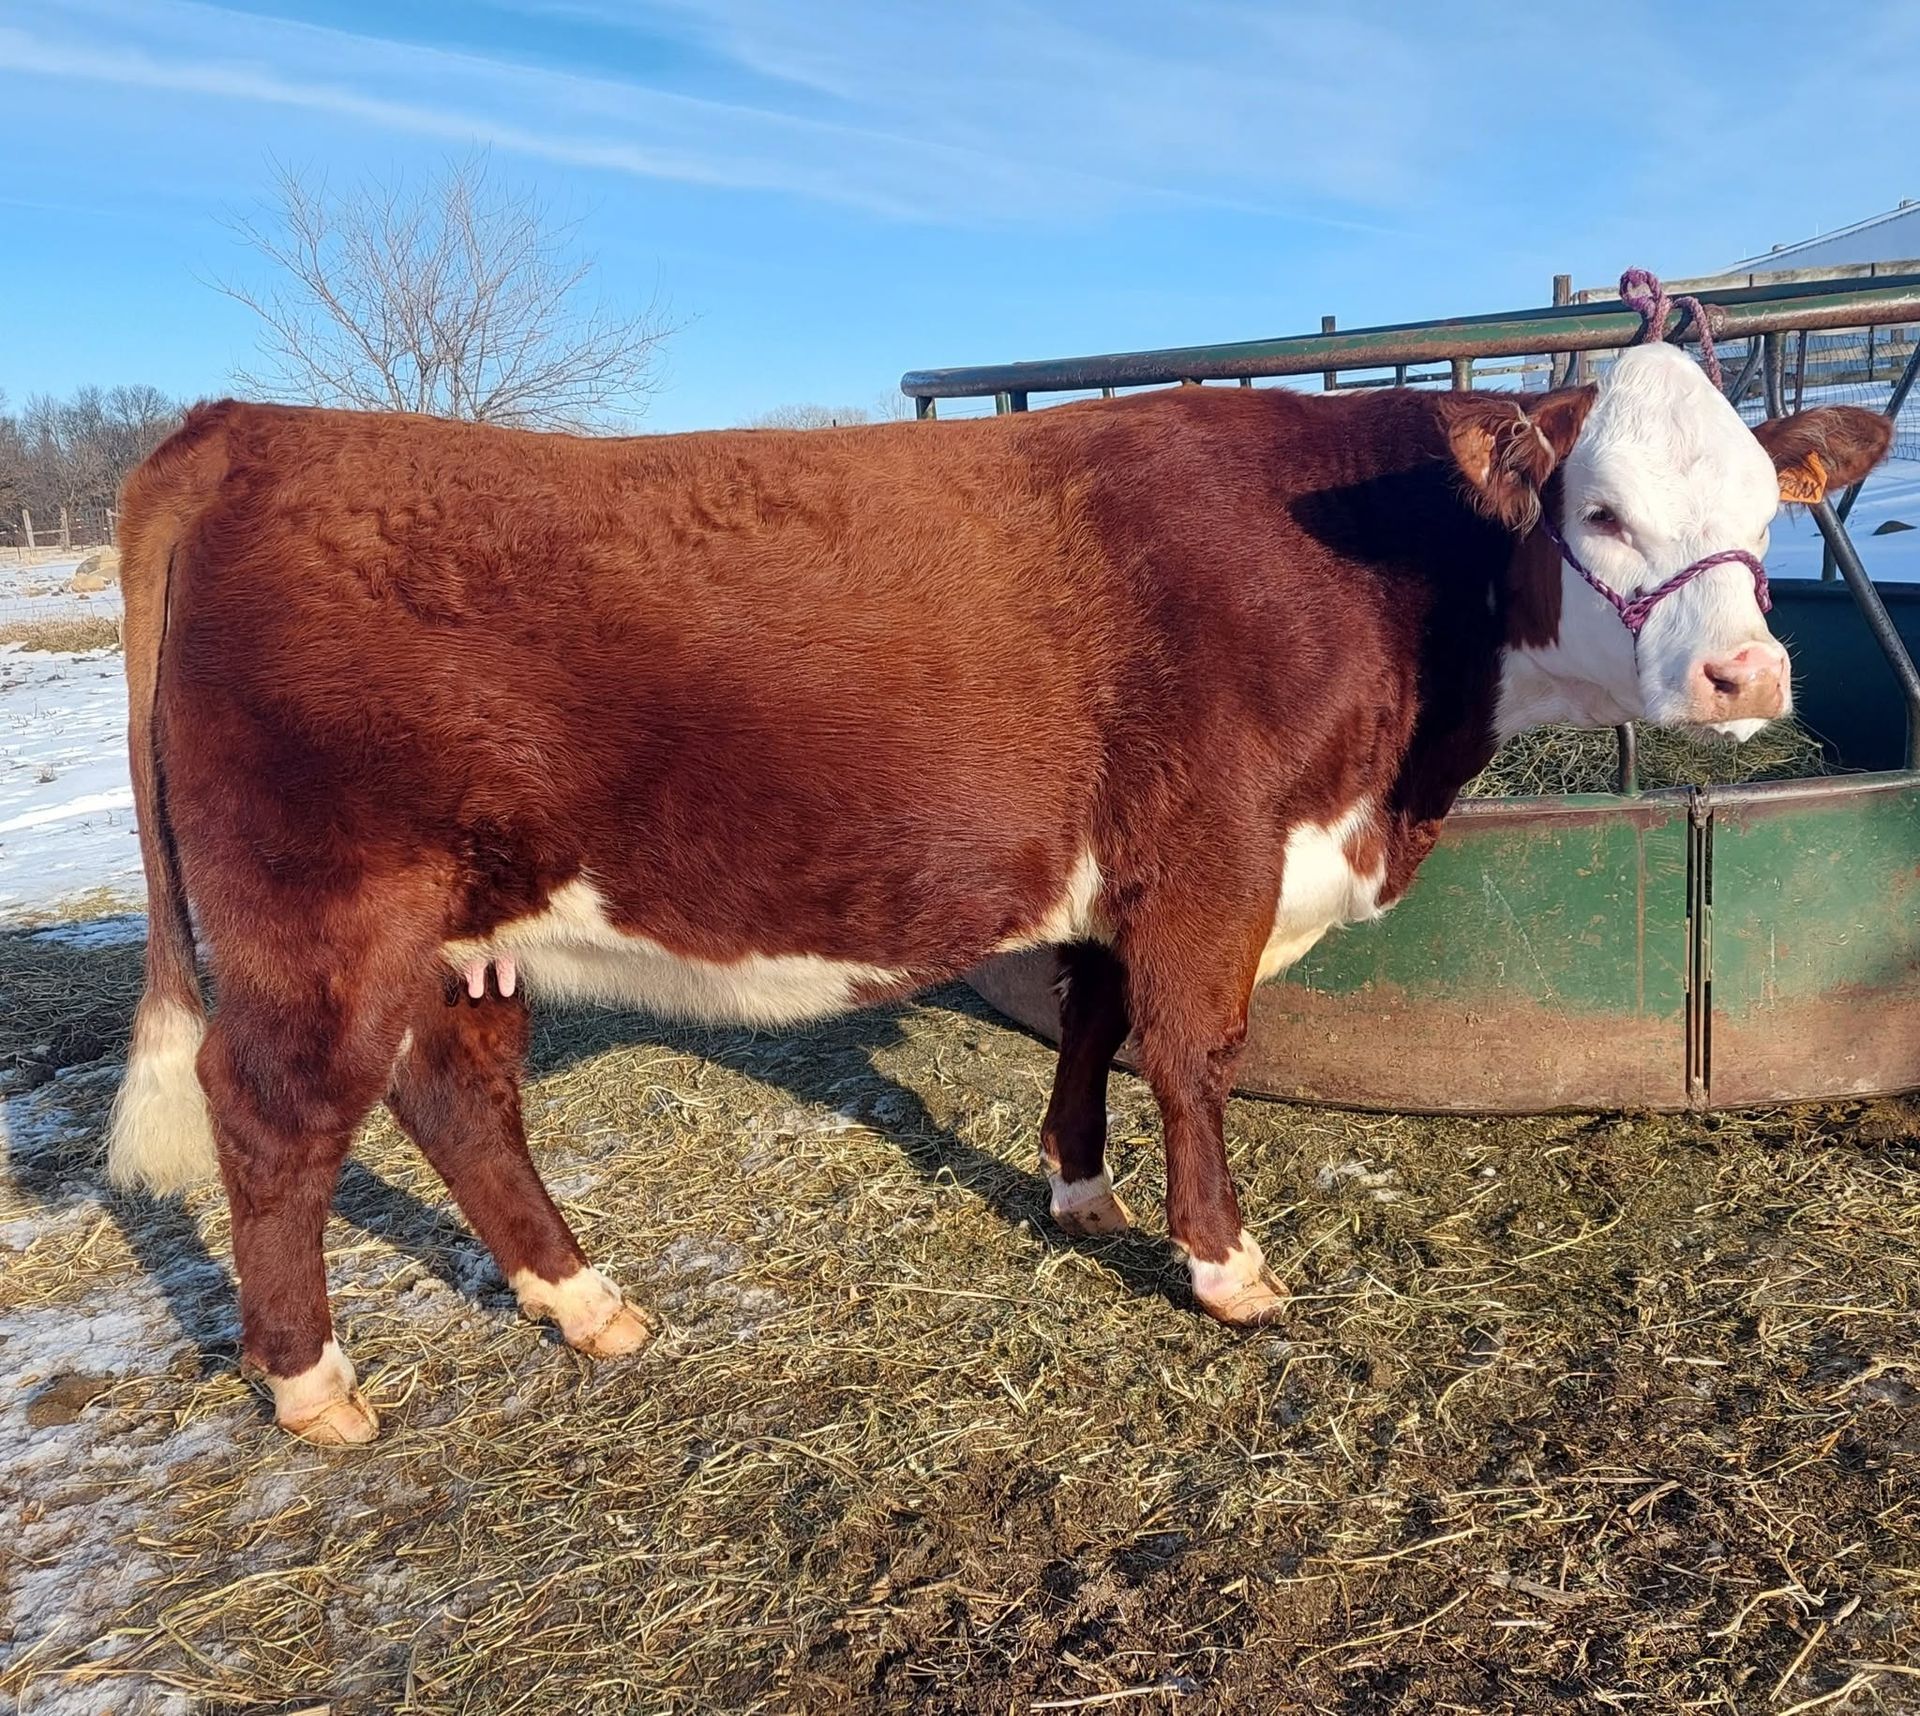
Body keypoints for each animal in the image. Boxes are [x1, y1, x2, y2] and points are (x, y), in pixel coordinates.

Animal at [105, 344, 1891, 1443]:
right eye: (1602, 509)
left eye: (1766, 510)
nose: (1746, 672)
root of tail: (246, 428)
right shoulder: (1218, 853)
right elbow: (1194, 1055)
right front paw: (1224, 1269)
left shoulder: (1125, 868)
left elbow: (1092, 1023)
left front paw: (1078, 1191)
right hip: (322, 921)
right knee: (276, 1120)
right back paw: (312, 1387)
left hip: (464, 931)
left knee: (457, 1098)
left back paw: (589, 1303)